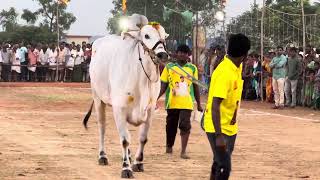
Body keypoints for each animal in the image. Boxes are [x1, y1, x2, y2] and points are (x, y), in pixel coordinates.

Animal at [83, 14, 170, 178]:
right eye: (146, 35)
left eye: (164, 36)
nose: (162, 54)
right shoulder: (120, 108)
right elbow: (124, 140)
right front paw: (126, 168)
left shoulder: (149, 111)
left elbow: (143, 138)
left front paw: (138, 163)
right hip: (97, 98)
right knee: (102, 127)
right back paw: (102, 156)